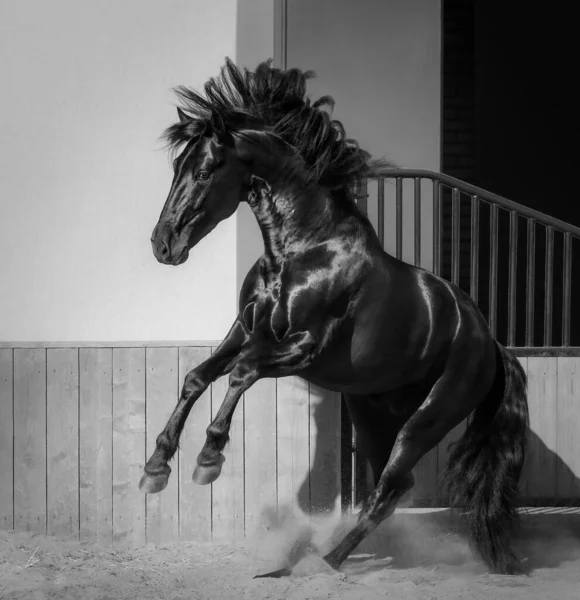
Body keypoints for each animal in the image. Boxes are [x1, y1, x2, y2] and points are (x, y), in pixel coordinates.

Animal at [140, 57, 532, 576]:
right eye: (177, 169)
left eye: (204, 172)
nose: (163, 245)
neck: (304, 249)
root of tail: (490, 342)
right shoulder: (245, 331)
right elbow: (197, 376)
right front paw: (156, 468)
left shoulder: (305, 347)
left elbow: (241, 373)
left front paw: (208, 459)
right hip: (369, 410)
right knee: (392, 487)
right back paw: (302, 563)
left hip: (428, 419)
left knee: (388, 489)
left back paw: (322, 563)